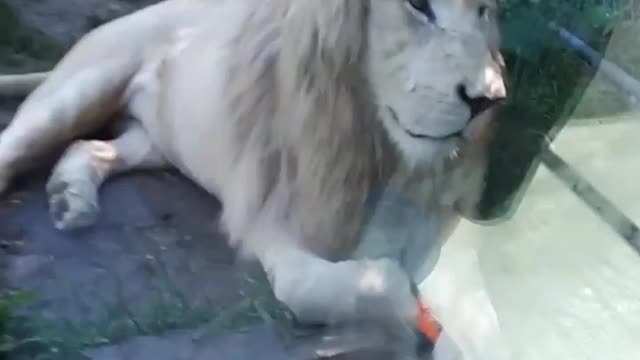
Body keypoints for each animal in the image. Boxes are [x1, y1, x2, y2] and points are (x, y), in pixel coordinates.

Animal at [0, 0, 510, 358]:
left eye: (482, 11)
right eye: (418, 5)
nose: (487, 99)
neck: (386, 153)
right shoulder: (272, 221)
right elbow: (335, 286)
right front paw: (415, 311)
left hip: (156, 140)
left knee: (90, 147)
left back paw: (70, 198)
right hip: (77, 92)